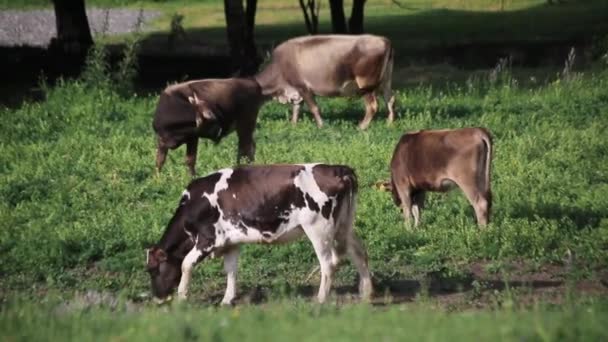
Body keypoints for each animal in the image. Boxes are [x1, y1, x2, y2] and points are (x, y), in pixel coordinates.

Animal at [148, 164, 376, 304]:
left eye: (152, 269)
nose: (157, 297)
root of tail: (337, 169)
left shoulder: (208, 239)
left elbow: (186, 264)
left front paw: (182, 297)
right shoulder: (231, 242)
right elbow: (231, 270)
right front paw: (227, 299)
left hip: (319, 229)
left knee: (328, 264)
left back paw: (320, 299)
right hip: (344, 225)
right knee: (359, 253)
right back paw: (366, 293)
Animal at [254, 34, 396, 130]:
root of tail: (385, 40)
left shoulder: (303, 87)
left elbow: (314, 108)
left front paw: (321, 126)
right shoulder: (296, 91)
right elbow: (296, 108)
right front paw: (293, 125)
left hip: (366, 84)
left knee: (372, 106)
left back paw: (361, 127)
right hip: (386, 81)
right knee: (390, 99)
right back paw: (389, 122)